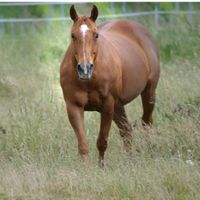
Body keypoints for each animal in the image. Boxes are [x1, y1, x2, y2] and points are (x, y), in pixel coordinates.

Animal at [60, 5, 160, 166]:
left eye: (96, 35)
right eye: (72, 35)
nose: (85, 68)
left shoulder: (107, 106)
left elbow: (102, 142)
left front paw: (101, 167)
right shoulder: (73, 106)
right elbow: (83, 144)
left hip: (149, 92)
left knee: (146, 122)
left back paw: (149, 150)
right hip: (118, 105)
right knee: (126, 130)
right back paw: (130, 160)